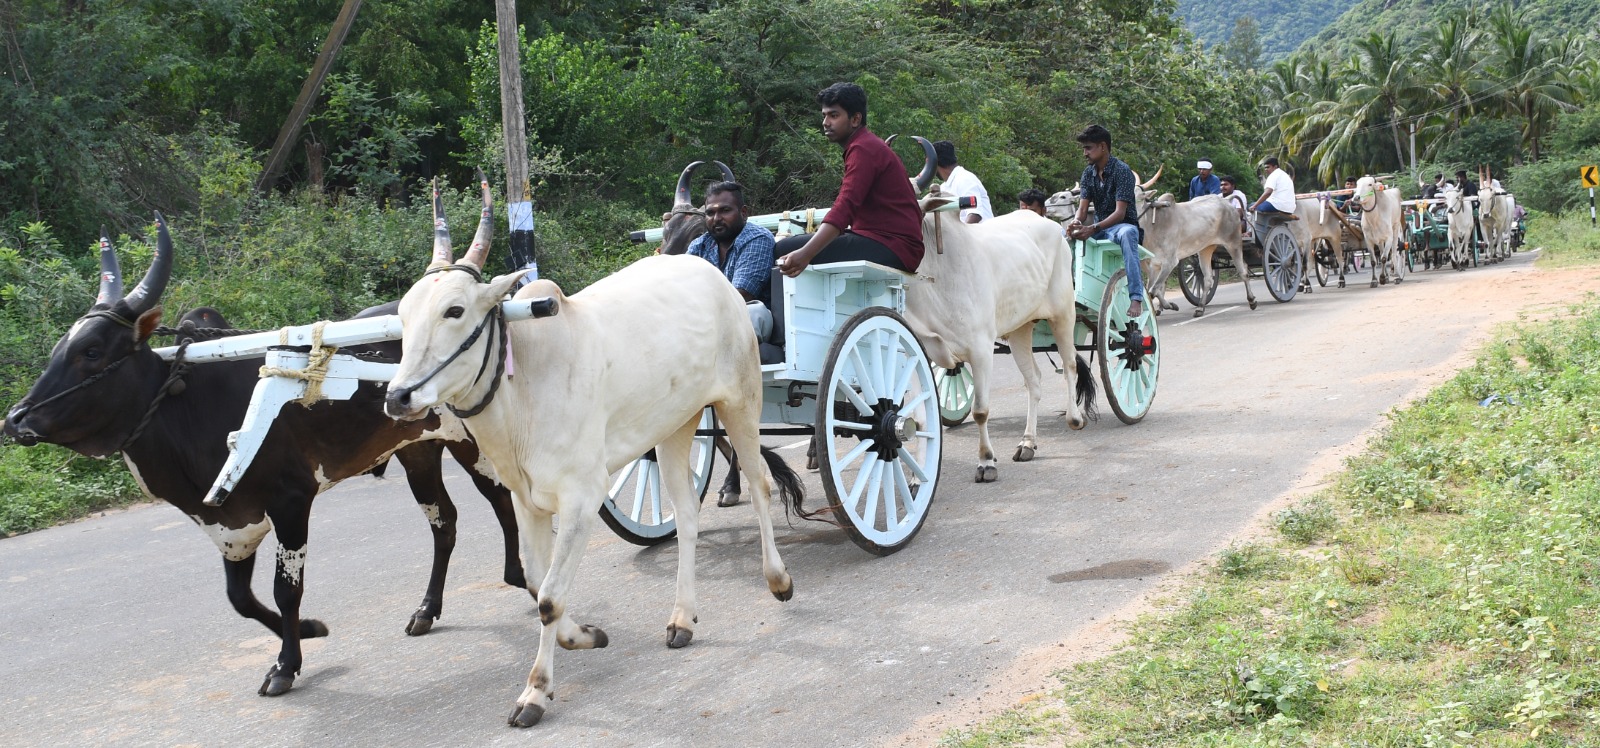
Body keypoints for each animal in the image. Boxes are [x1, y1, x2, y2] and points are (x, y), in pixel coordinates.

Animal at [382, 188, 806, 732]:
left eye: (454, 310)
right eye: (404, 315)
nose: (397, 397)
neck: (525, 382)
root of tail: (715, 279)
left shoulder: (582, 499)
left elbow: (548, 597)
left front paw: (536, 692)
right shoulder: (526, 501)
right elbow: (538, 584)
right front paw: (584, 635)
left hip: (741, 403)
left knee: (760, 485)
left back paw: (778, 580)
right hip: (674, 426)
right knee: (687, 516)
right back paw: (682, 618)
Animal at [902, 190, 1100, 485]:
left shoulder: (981, 350)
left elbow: (980, 411)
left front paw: (986, 461)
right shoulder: (916, 352)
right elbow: (920, 420)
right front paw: (917, 479)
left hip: (1064, 314)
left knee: (1070, 366)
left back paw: (1074, 418)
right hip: (1020, 329)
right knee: (1034, 381)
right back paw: (1028, 442)